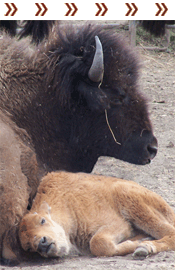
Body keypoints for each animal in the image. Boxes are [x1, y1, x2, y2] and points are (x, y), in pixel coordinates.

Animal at [19, 172, 175, 260]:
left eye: (42, 220)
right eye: (29, 247)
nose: (42, 244)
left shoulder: (118, 224)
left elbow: (98, 243)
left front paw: (138, 243)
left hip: (129, 197)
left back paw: (145, 247)